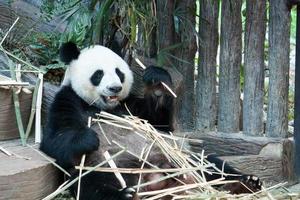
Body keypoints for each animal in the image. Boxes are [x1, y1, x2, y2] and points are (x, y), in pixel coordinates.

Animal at [40, 41, 262, 199]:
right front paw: (88, 137)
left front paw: (157, 82)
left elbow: (160, 123)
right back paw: (126, 195)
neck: (103, 107)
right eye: (98, 74)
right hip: (104, 166)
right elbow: (54, 140)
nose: (115, 88)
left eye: (119, 73)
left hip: (181, 157)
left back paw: (244, 183)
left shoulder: (130, 107)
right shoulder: (69, 99)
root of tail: (155, 180)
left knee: (210, 164)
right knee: (90, 184)